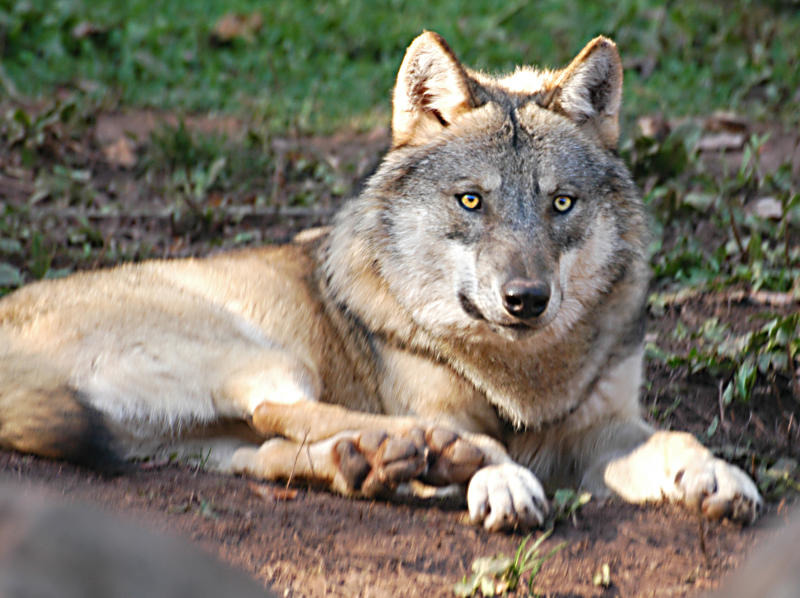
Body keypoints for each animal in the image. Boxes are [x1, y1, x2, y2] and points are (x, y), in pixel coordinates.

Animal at [0, 32, 764, 532]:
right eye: (471, 201)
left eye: (561, 204)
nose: (526, 300)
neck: (519, 378)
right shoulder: (453, 405)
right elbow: (475, 437)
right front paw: (497, 477)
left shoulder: (601, 430)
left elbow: (675, 439)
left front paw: (716, 474)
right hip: (256, 354)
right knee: (285, 411)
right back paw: (428, 456)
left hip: (209, 442)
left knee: (272, 449)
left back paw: (371, 464)